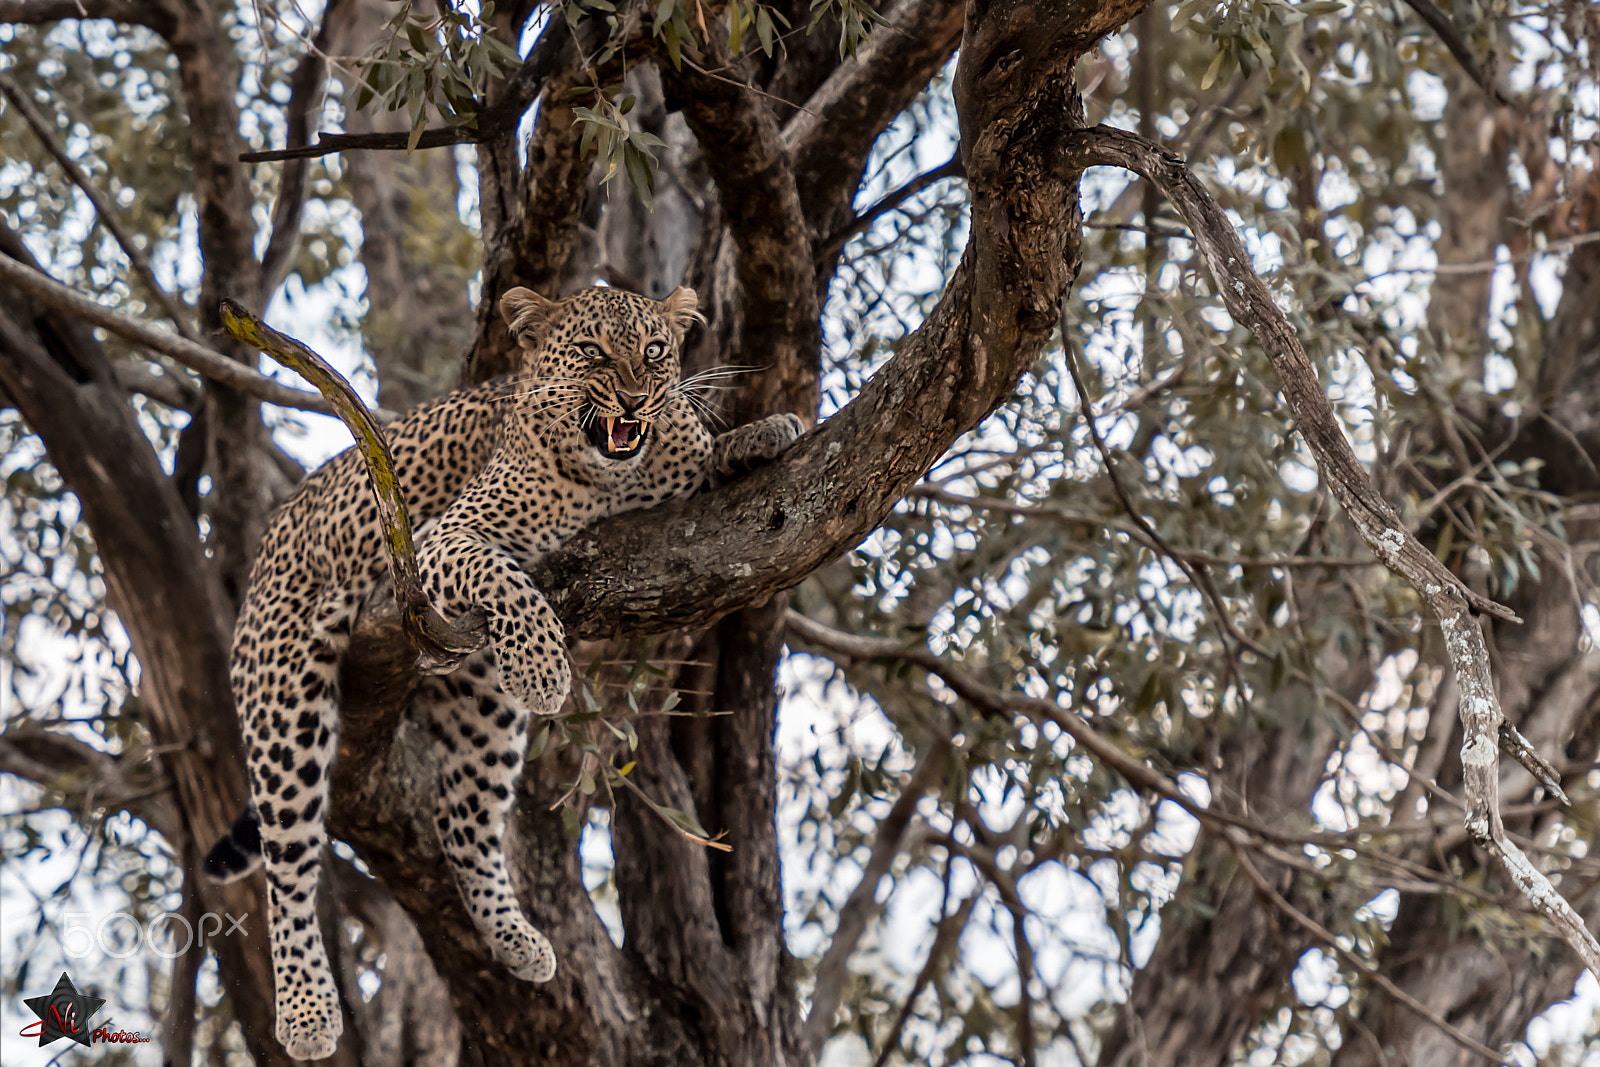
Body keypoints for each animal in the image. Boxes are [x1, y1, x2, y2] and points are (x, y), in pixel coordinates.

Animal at [202, 284, 804, 1060]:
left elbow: (703, 456)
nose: (635, 399)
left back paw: (518, 940)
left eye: (654, 351)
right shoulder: (442, 539)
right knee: (289, 865)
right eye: (591, 352)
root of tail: (268, 542)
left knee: (460, 821)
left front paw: (762, 432)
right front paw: (545, 666)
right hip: (285, 700)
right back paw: (307, 1011)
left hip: (478, 707)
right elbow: (504, 574)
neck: (611, 479)